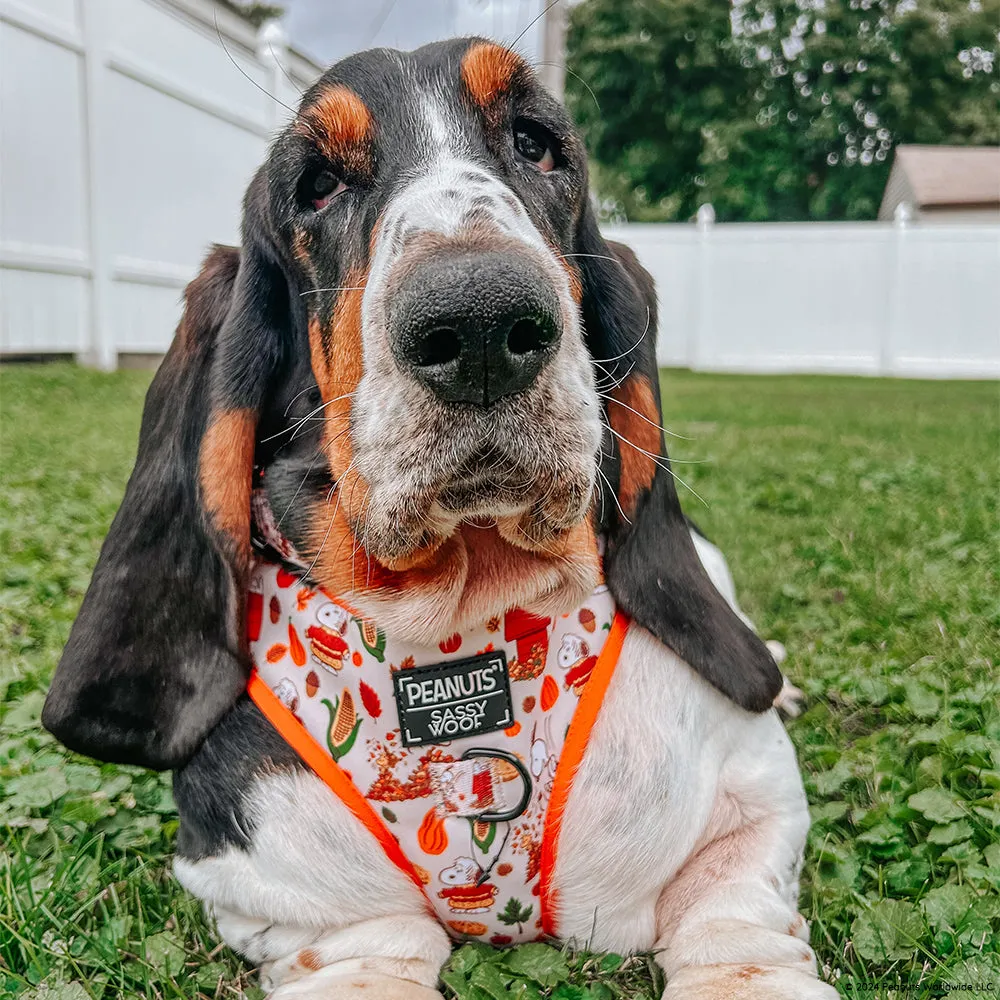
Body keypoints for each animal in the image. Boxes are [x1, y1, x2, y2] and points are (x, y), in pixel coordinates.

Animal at [43, 35, 832, 996]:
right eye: (316, 186)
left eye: (536, 143)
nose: (484, 320)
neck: (469, 613)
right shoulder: (294, 898)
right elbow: (369, 951)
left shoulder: (754, 800)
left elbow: (733, 923)